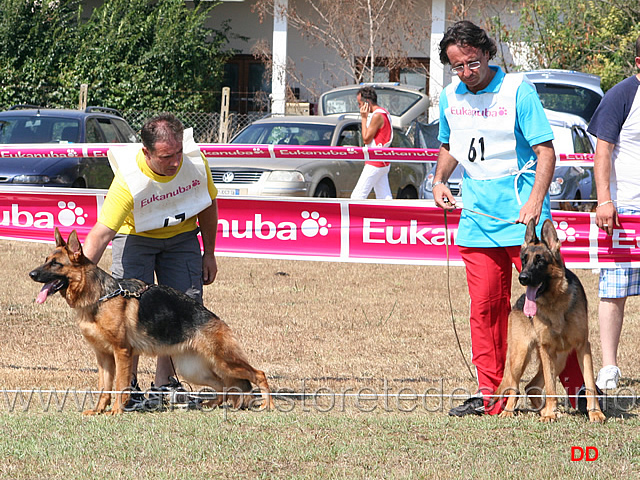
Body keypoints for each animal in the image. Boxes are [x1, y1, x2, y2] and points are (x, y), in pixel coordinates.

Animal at [28, 228, 274, 412]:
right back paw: (210, 404)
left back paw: (268, 405)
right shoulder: (103, 357)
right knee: (222, 385)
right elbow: (104, 388)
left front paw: (116, 411)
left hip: (224, 361)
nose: (31, 274)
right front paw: (98, 410)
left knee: (258, 374)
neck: (100, 296)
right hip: (192, 368)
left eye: (55, 264)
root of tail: (214, 318)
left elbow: (120, 385)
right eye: (45, 260)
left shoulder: (122, 352)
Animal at [496, 219, 604, 422]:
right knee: (514, 386)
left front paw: (595, 413)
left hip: (560, 360)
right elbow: (551, 386)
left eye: (540, 261)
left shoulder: (582, 347)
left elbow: (589, 384)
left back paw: (544, 410)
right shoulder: (546, 350)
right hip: (520, 356)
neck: (555, 301)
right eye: (524, 260)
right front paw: (549, 415)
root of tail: (518, 302)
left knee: (530, 387)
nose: (522, 278)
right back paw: (510, 410)